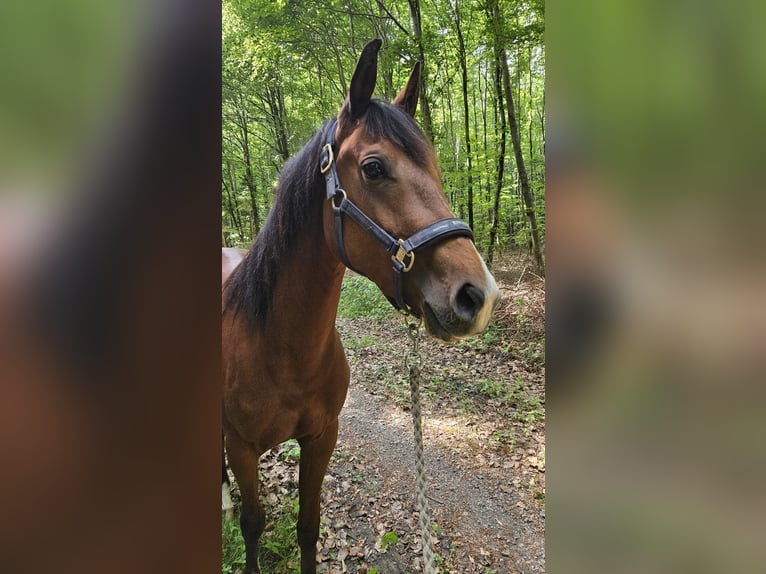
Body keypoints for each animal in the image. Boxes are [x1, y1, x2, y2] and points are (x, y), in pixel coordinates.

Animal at [222, 39, 500, 574]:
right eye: (374, 167)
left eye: (438, 167)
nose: (478, 296)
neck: (280, 349)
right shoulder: (241, 447)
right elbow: (252, 524)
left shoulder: (322, 438)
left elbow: (308, 528)